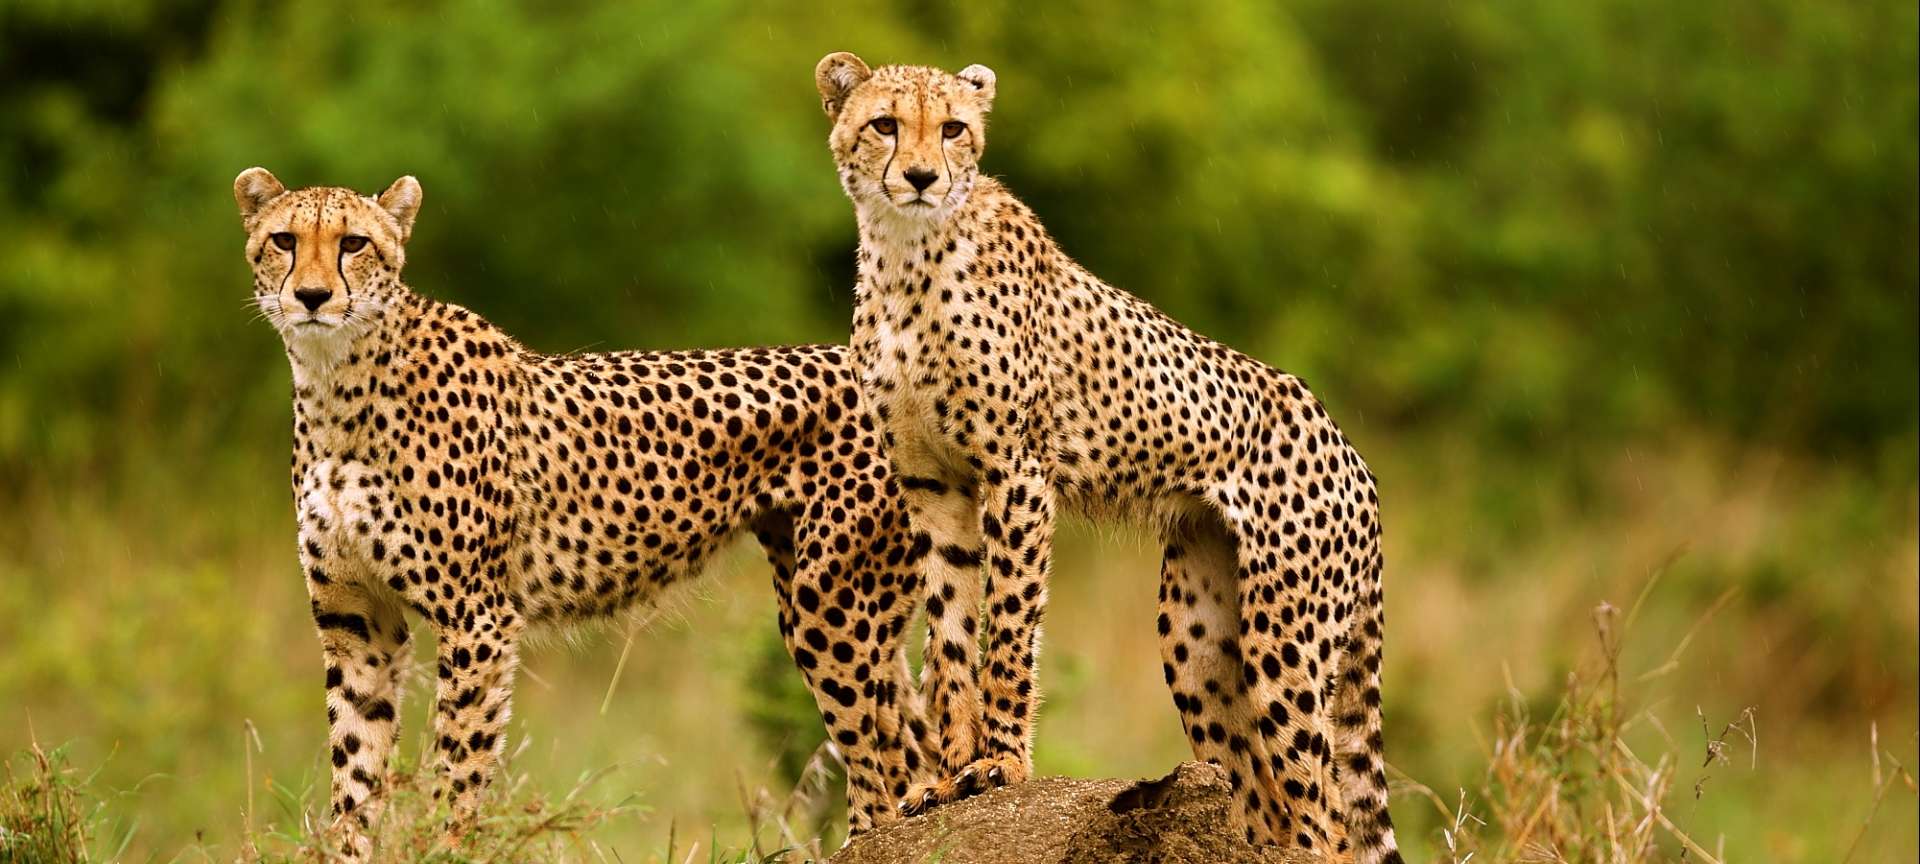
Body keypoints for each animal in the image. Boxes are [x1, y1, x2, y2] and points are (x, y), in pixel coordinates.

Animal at [228, 167, 933, 848]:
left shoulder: (477, 620)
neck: (337, 384)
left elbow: (457, 766)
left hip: (830, 604)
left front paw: (445, 843)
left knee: (884, 767)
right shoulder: (357, 625)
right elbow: (354, 773)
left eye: (354, 244)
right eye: (284, 241)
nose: (312, 297)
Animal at [814, 55, 1413, 864]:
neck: (906, 249)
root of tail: (1354, 455)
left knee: (1324, 820)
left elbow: (1008, 625)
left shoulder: (1017, 472)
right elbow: (952, 632)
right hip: (1199, 642)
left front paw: (999, 765)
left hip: (1287, 639)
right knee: (1266, 799)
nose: (919, 176)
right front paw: (949, 772)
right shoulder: (932, 483)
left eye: (953, 129)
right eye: (884, 124)